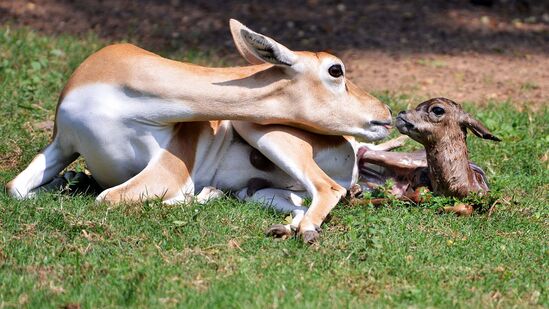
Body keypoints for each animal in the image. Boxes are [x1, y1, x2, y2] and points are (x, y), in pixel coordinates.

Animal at [9, 19, 394, 242]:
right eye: (335, 69)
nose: (386, 115)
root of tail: (351, 152)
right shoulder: (62, 142)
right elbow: (15, 188)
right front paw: (61, 181)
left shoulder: (170, 169)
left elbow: (108, 197)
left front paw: (202, 194)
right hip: (265, 180)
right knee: (298, 201)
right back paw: (280, 226)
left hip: (261, 130)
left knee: (327, 189)